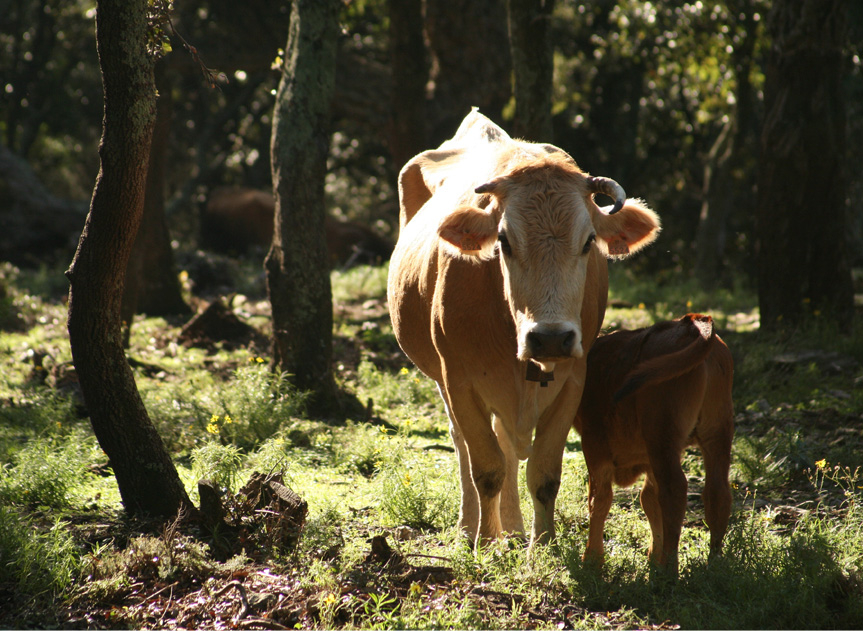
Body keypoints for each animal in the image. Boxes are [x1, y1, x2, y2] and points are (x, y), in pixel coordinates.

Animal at [386, 110, 660, 548]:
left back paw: (513, 528)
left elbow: (544, 474)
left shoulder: (573, 379)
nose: (550, 337)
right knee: (465, 447)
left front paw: (543, 545)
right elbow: (486, 467)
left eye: (589, 241)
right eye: (504, 240)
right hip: (444, 382)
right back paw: (471, 527)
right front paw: (483, 542)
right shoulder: (459, 380)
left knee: (509, 447)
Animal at [572, 314, 736, 576]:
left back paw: (669, 572)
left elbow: (599, 498)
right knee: (717, 492)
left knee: (675, 490)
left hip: (663, 434)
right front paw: (653, 558)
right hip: (717, 431)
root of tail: (692, 322)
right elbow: (649, 499)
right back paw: (714, 564)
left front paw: (592, 561)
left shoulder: (594, 441)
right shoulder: (649, 457)